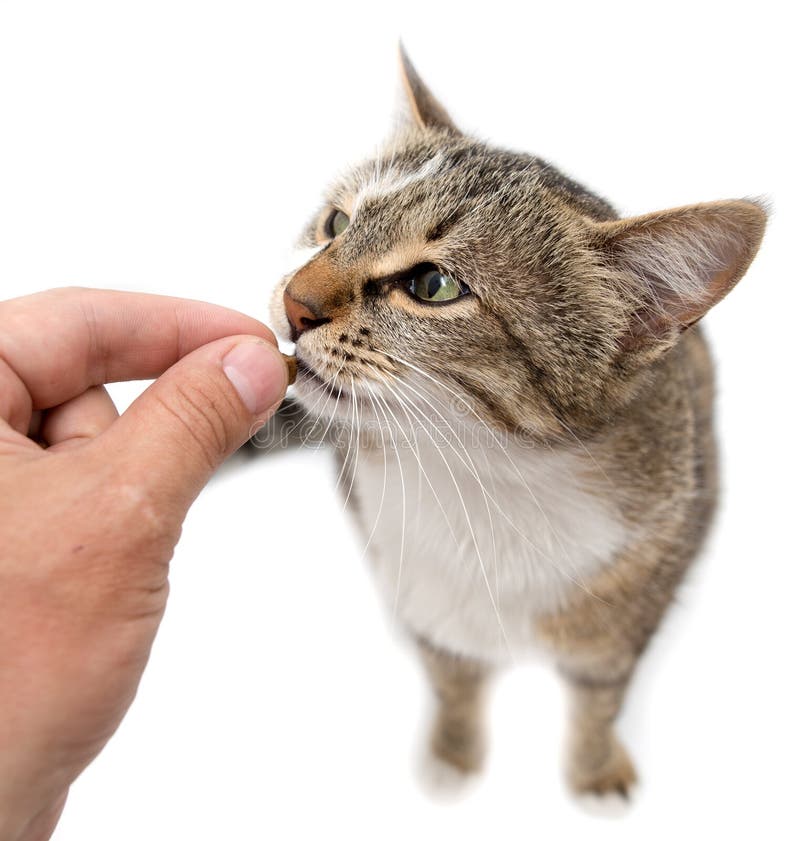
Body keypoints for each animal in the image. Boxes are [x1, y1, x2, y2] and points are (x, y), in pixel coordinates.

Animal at [266, 49, 764, 796]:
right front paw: (454, 754)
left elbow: (599, 695)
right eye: (335, 224)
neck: (481, 482)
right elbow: (452, 680)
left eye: (433, 286)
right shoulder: (424, 602)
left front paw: (593, 768)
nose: (295, 302)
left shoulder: (634, 601)